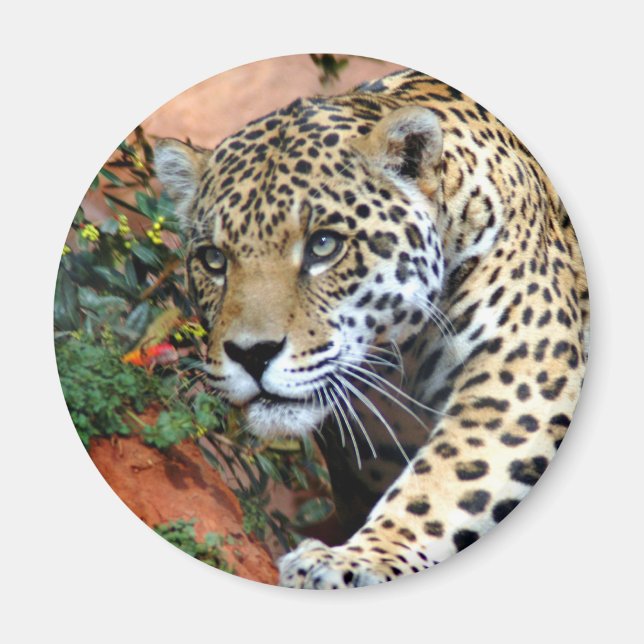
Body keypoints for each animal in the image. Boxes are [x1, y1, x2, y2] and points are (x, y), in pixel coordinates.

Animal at [154, 68, 589, 589]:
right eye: (214, 260)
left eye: (323, 245)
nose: (251, 354)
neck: (398, 358)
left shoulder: (519, 376)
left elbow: (441, 484)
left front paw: (353, 561)